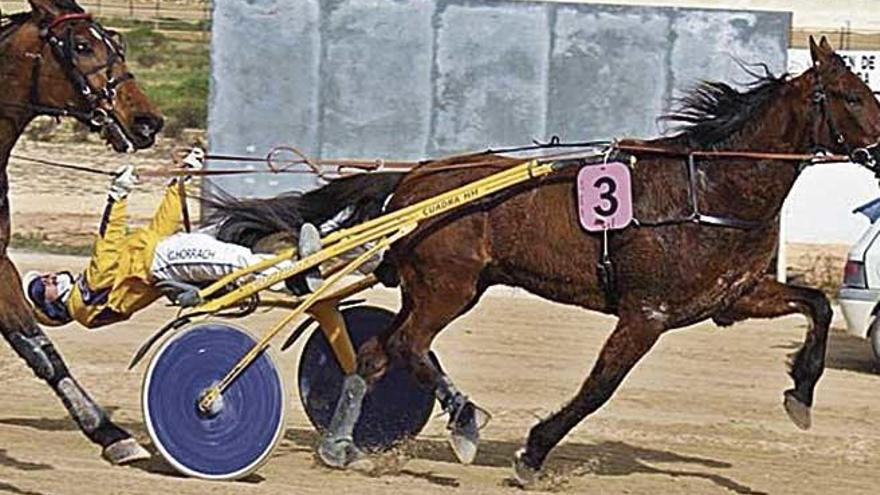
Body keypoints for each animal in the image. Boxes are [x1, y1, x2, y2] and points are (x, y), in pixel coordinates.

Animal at [210, 36, 880, 482]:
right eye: (852, 94)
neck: (709, 187)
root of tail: (415, 178)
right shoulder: (647, 315)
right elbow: (599, 387)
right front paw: (532, 453)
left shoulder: (732, 298)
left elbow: (818, 307)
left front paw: (800, 394)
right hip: (448, 289)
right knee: (407, 347)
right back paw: (464, 423)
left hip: (443, 289)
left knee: (377, 352)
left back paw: (342, 446)